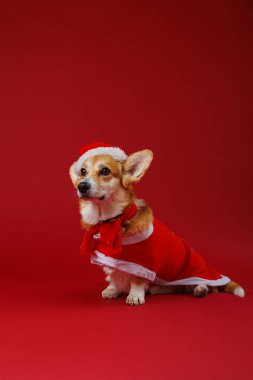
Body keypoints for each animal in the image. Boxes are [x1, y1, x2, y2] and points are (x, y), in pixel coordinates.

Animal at [69, 142, 245, 306]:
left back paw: (200, 288)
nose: (82, 186)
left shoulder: (144, 264)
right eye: (83, 171)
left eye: (105, 171)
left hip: (196, 270)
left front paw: (134, 296)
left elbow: (137, 281)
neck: (113, 221)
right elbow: (113, 277)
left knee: (207, 285)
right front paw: (112, 290)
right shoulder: (111, 262)